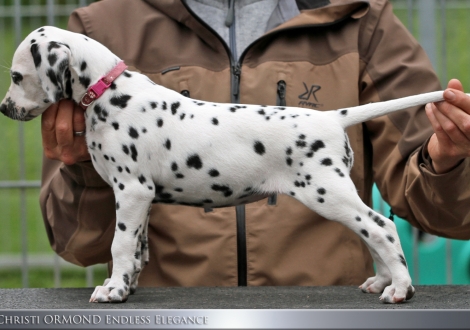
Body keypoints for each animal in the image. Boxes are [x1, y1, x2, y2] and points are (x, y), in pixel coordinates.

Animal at [0, 26, 456, 304]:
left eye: (17, 76)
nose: (4, 108)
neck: (110, 91)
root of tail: (332, 117)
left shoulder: (131, 191)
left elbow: (120, 244)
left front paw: (112, 290)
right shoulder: (141, 198)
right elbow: (137, 246)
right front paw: (126, 285)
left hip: (328, 193)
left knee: (381, 228)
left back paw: (400, 288)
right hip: (340, 193)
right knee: (372, 231)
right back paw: (383, 280)